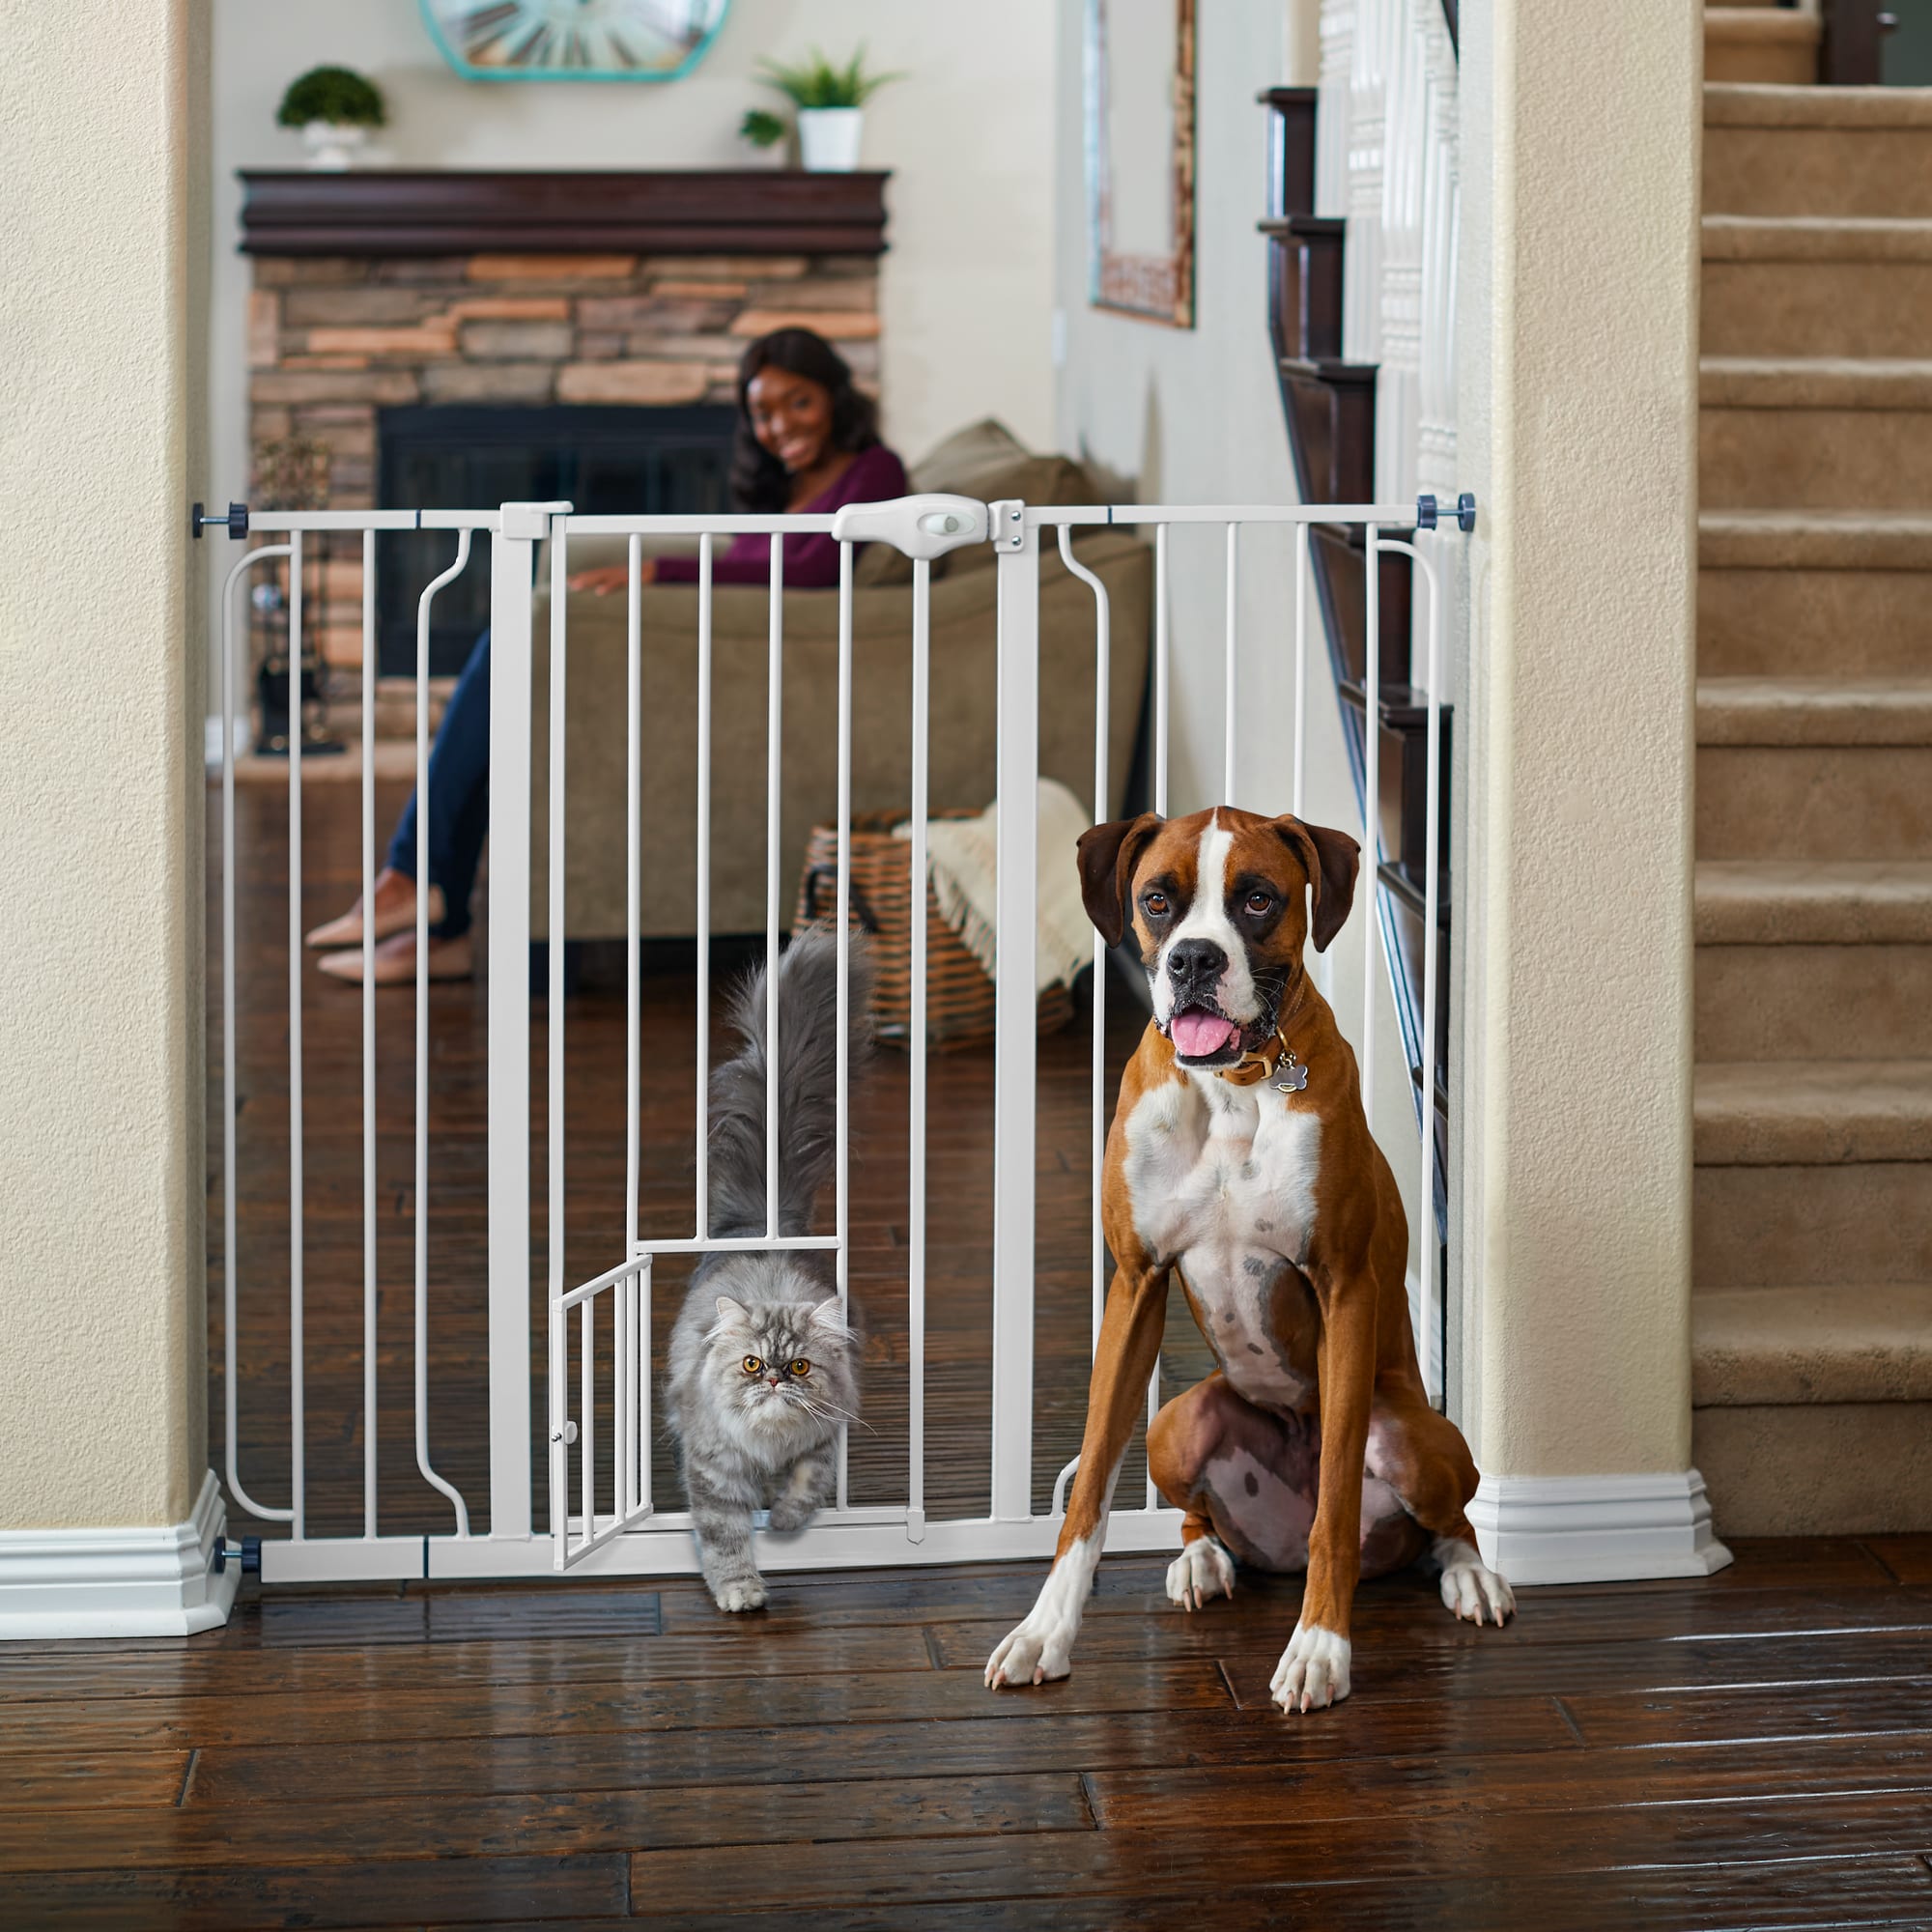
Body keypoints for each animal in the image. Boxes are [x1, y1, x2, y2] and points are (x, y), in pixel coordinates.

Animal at [668, 923, 873, 1615]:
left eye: (801, 1367)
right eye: (754, 1364)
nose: (778, 1381)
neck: (768, 1443)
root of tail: (767, 1220)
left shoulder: (827, 1438)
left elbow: (809, 1484)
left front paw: (784, 1521)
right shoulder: (712, 1470)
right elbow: (725, 1539)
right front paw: (741, 1593)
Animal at [989, 808, 1515, 1716]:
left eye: (1259, 899)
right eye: (1157, 899)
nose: (1194, 959)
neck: (1232, 1084)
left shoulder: (1344, 1289)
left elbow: (1336, 1503)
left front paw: (1320, 1650)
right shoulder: (1135, 1286)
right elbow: (1087, 1492)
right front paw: (1043, 1632)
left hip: (1414, 1437)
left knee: (1444, 1523)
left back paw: (1470, 1576)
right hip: (1177, 1424)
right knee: (1199, 1511)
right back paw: (1202, 1561)